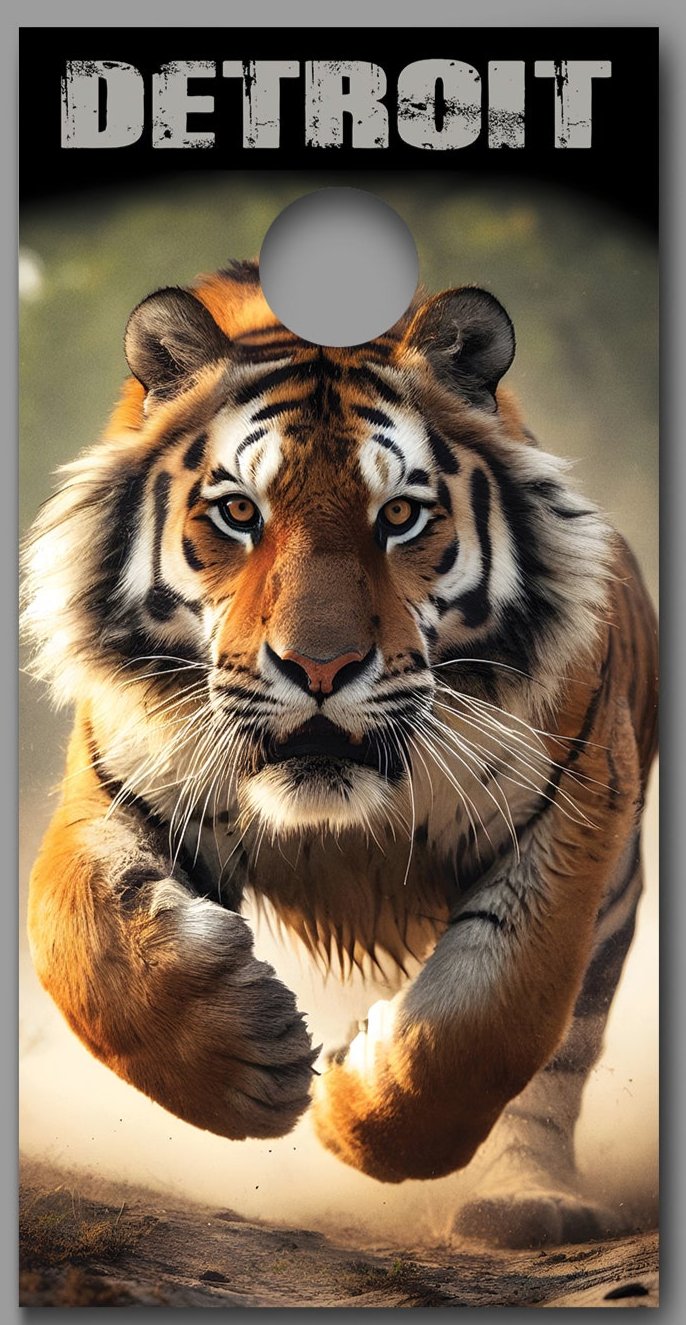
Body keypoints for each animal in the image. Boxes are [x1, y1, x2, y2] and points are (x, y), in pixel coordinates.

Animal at [22, 259, 657, 1248]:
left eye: (399, 514)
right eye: (238, 512)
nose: (320, 666)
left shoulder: (574, 803)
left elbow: (495, 1016)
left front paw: (360, 1114)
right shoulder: (116, 783)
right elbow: (81, 942)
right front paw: (252, 1065)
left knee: (560, 1061)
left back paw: (525, 1201)